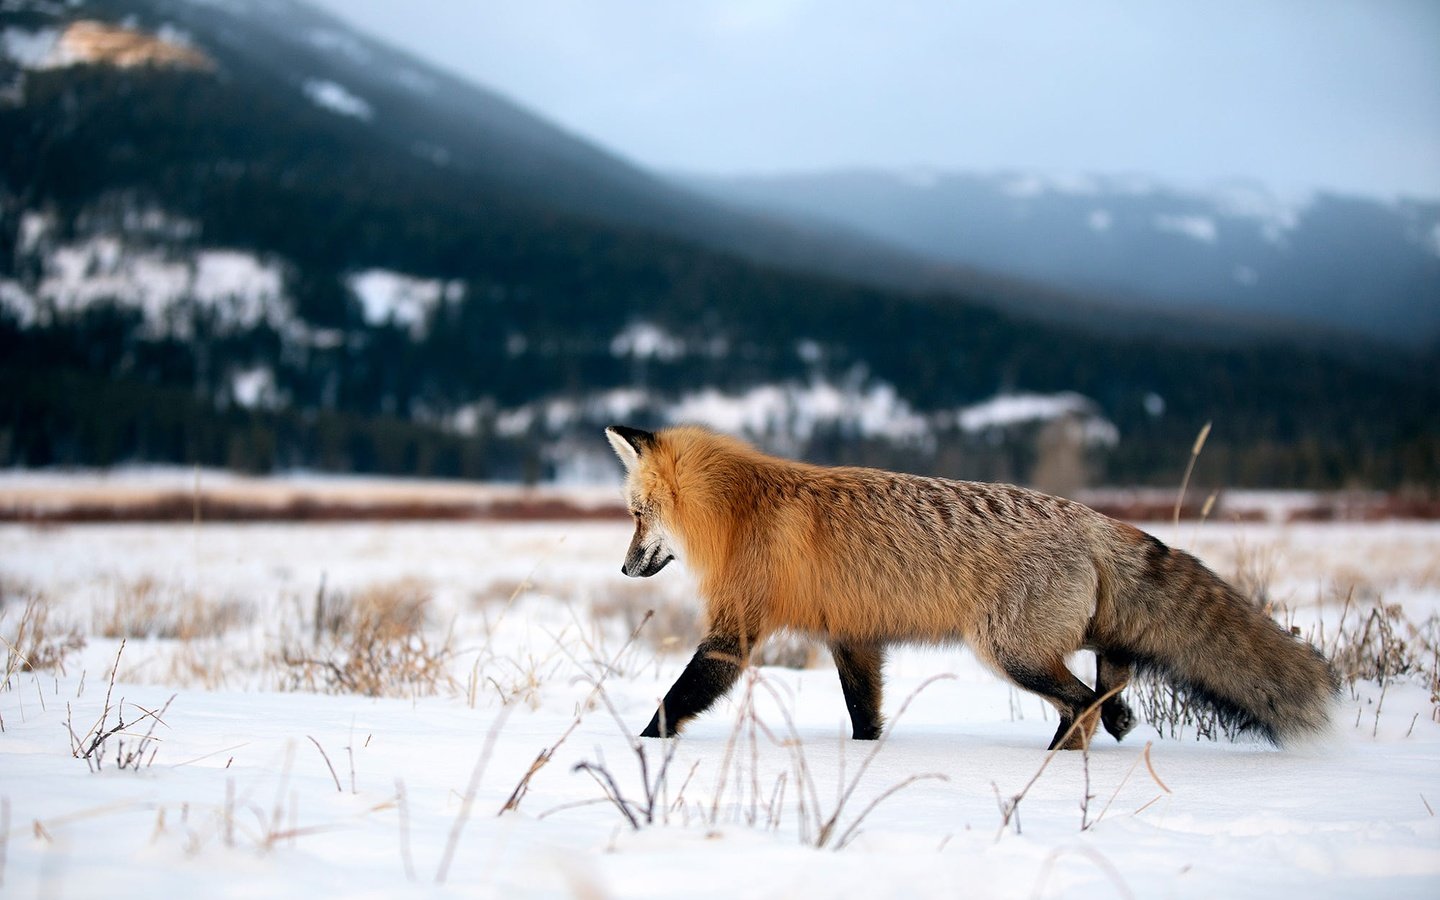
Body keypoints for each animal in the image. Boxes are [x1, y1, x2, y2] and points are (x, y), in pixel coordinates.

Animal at [607, 423, 1336, 748]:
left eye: (636, 515)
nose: (623, 569)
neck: (740, 509)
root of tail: (1095, 519)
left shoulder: (736, 631)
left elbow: (677, 696)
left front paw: (640, 746)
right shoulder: (853, 635)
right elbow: (863, 710)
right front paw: (867, 755)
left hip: (1008, 650)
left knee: (1080, 702)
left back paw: (1060, 761)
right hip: (1061, 639)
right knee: (1113, 676)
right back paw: (1119, 717)